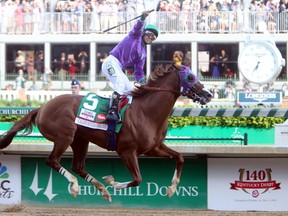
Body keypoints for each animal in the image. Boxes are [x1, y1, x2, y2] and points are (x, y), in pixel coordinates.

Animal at [0, 64, 212, 202]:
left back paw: (102, 190)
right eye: (190, 77)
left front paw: (172, 188)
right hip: (65, 136)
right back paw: (76, 186)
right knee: (53, 161)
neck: (147, 111)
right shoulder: (126, 151)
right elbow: (137, 179)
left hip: (80, 140)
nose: (208, 94)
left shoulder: (153, 147)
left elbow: (179, 157)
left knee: (78, 167)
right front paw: (113, 182)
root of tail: (42, 107)